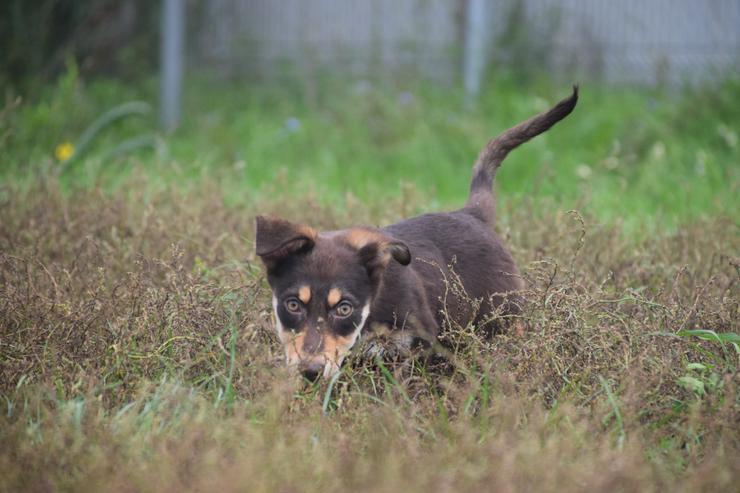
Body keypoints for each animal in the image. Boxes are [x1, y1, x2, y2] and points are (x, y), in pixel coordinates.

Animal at [254, 87, 580, 380]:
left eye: (345, 308)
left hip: (503, 322)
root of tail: (472, 214)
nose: (310, 372)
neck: (373, 310)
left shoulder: (419, 345)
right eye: (293, 304)